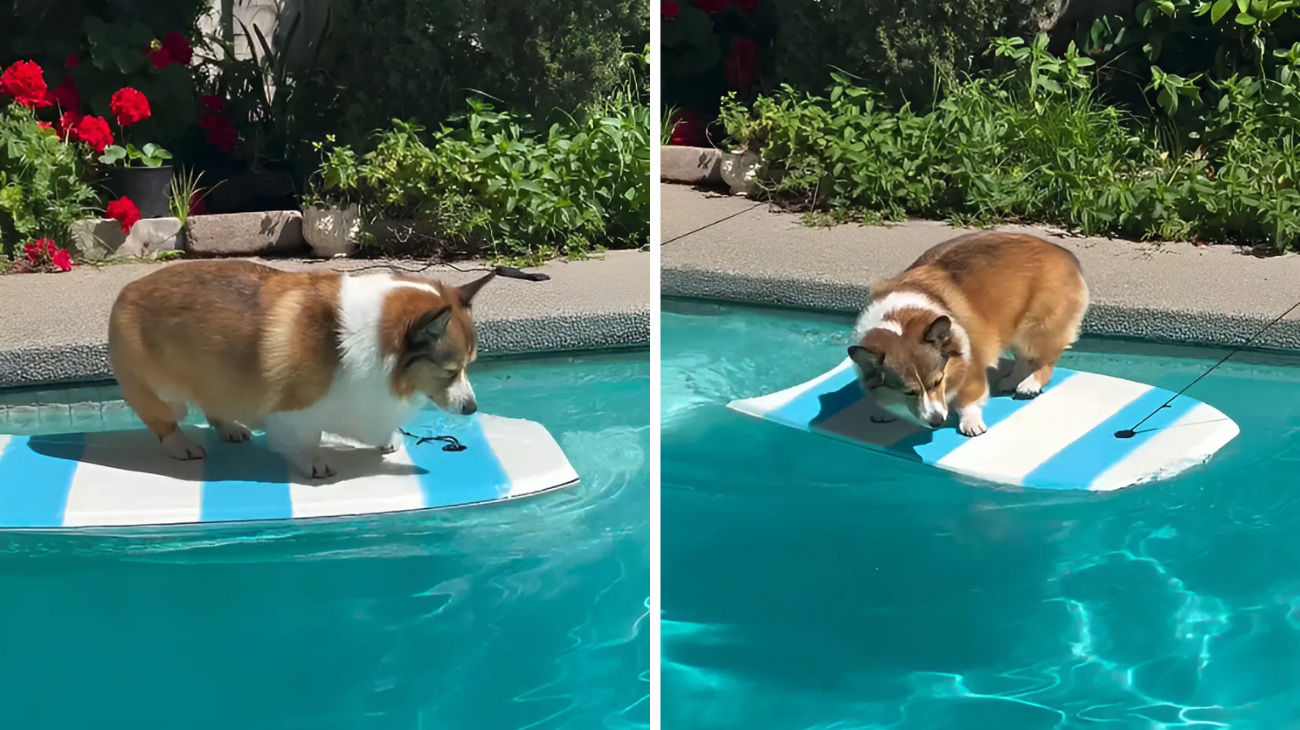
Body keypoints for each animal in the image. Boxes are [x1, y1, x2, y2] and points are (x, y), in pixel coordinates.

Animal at [106, 259, 499, 478]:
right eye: (450, 371)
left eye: (468, 367)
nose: (472, 408)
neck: (379, 339)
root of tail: (126, 291)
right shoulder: (296, 411)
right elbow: (306, 440)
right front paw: (314, 464)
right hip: (165, 393)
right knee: (165, 420)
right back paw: (182, 446)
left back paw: (230, 427)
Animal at [847, 232, 1092, 433]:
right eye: (909, 392)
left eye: (937, 382)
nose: (936, 421)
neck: (899, 318)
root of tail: (1064, 253)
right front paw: (886, 413)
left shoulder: (970, 365)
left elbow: (968, 401)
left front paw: (971, 423)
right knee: (1023, 359)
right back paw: (1011, 381)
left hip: (1035, 329)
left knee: (1045, 359)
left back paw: (1030, 384)